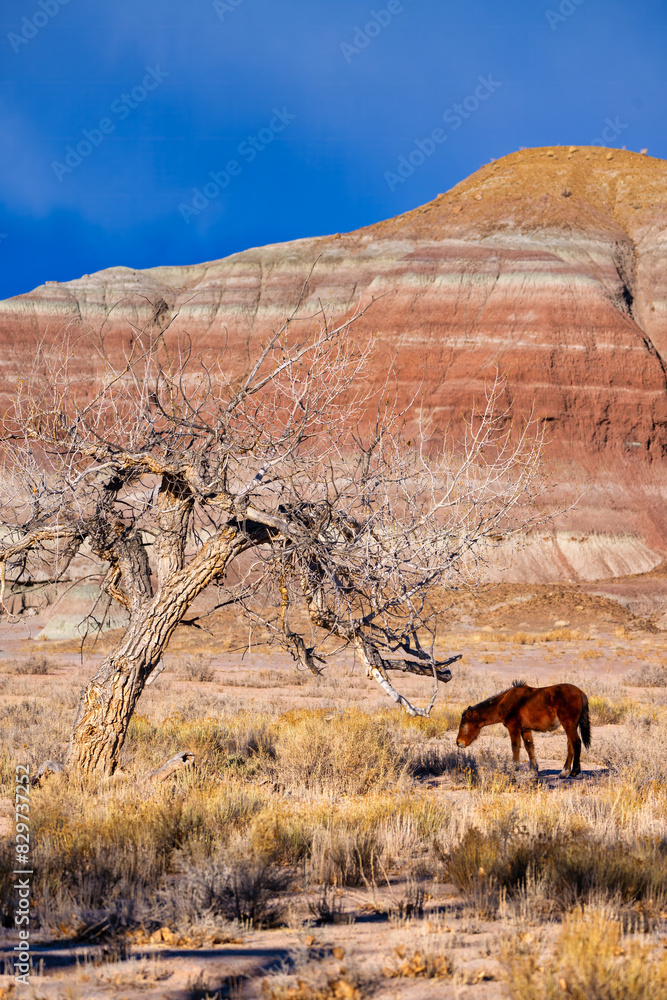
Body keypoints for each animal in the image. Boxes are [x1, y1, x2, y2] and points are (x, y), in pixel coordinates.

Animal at [456, 680, 591, 778]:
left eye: (463, 725)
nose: (458, 742)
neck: (504, 702)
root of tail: (580, 693)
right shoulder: (525, 729)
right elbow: (529, 746)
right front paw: (534, 769)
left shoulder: (513, 727)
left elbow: (515, 747)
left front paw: (515, 768)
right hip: (570, 726)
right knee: (570, 745)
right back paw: (564, 772)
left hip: (569, 725)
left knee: (576, 742)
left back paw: (574, 771)